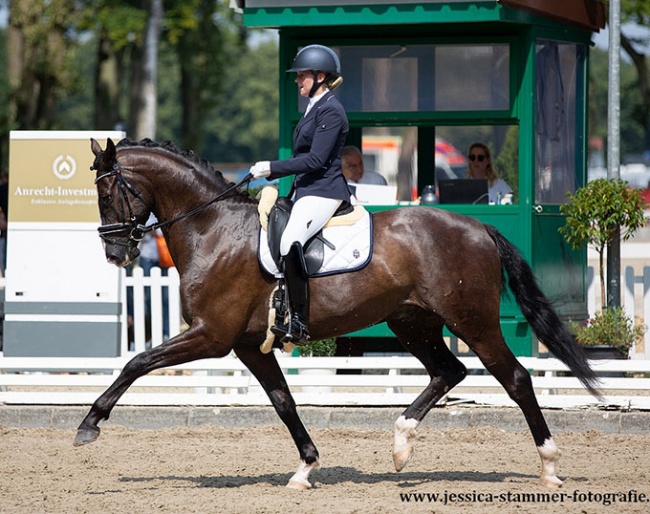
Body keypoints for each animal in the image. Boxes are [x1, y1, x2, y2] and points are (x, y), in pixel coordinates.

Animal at [74, 137, 596, 488]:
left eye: (106, 195)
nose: (116, 254)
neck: (212, 228)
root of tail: (478, 226)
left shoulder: (211, 336)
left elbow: (137, 361)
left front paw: (89, 425)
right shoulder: (248, 345)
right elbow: (283, 402)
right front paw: (305, 468)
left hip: (473, 321)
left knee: (515, 378)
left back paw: (550, 466)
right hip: (412, 321)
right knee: (448, 371)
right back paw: (401, 444)